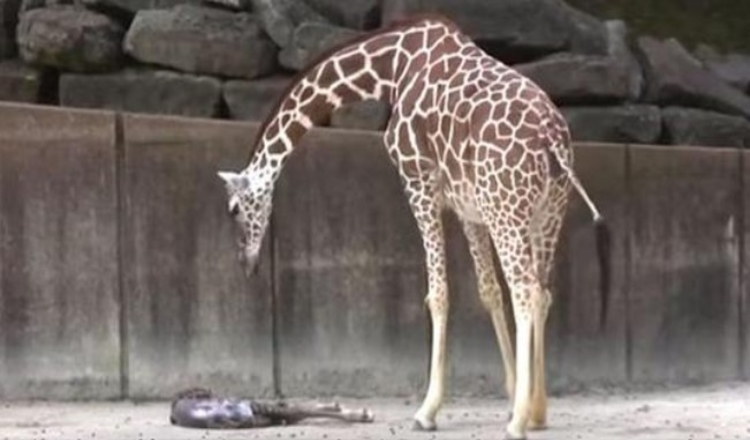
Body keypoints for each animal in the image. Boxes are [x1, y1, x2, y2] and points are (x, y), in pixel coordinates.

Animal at [217, 13, 612, 440]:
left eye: (234, 209)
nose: (247, 265)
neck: (391, 67)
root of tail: (551, 138)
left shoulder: (418, 180)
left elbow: (438, 294)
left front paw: (428, 410)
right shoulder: (469, 207)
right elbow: (488, 291)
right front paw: (510, 393)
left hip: (508, 210)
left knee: (526, 292)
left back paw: (520, 421)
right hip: (545, 212)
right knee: (543, 292)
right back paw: (536, 410)